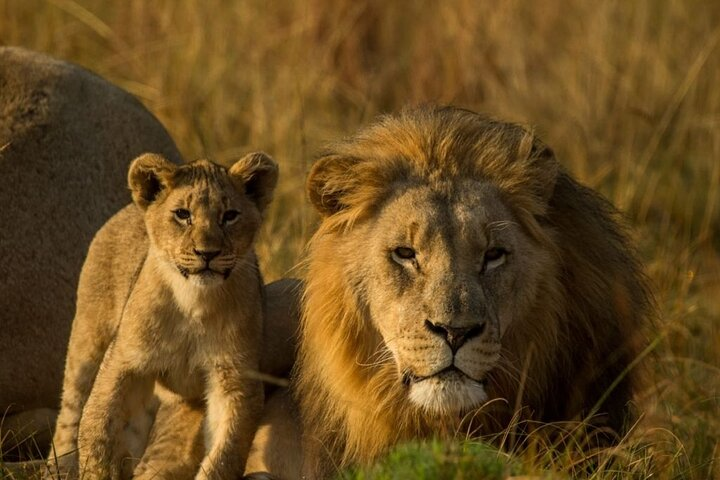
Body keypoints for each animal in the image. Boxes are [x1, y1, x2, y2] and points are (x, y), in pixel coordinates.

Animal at [46, 152, 278, 480]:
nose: (207, 253)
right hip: (87, 340)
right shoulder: (124, 360)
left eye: (230, 215)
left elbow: (225, 452)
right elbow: (96, 425)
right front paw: (97, 469)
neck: (193, 300)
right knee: (71, 412)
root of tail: (129, 208)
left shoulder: (234, 378)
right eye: (182, 214)